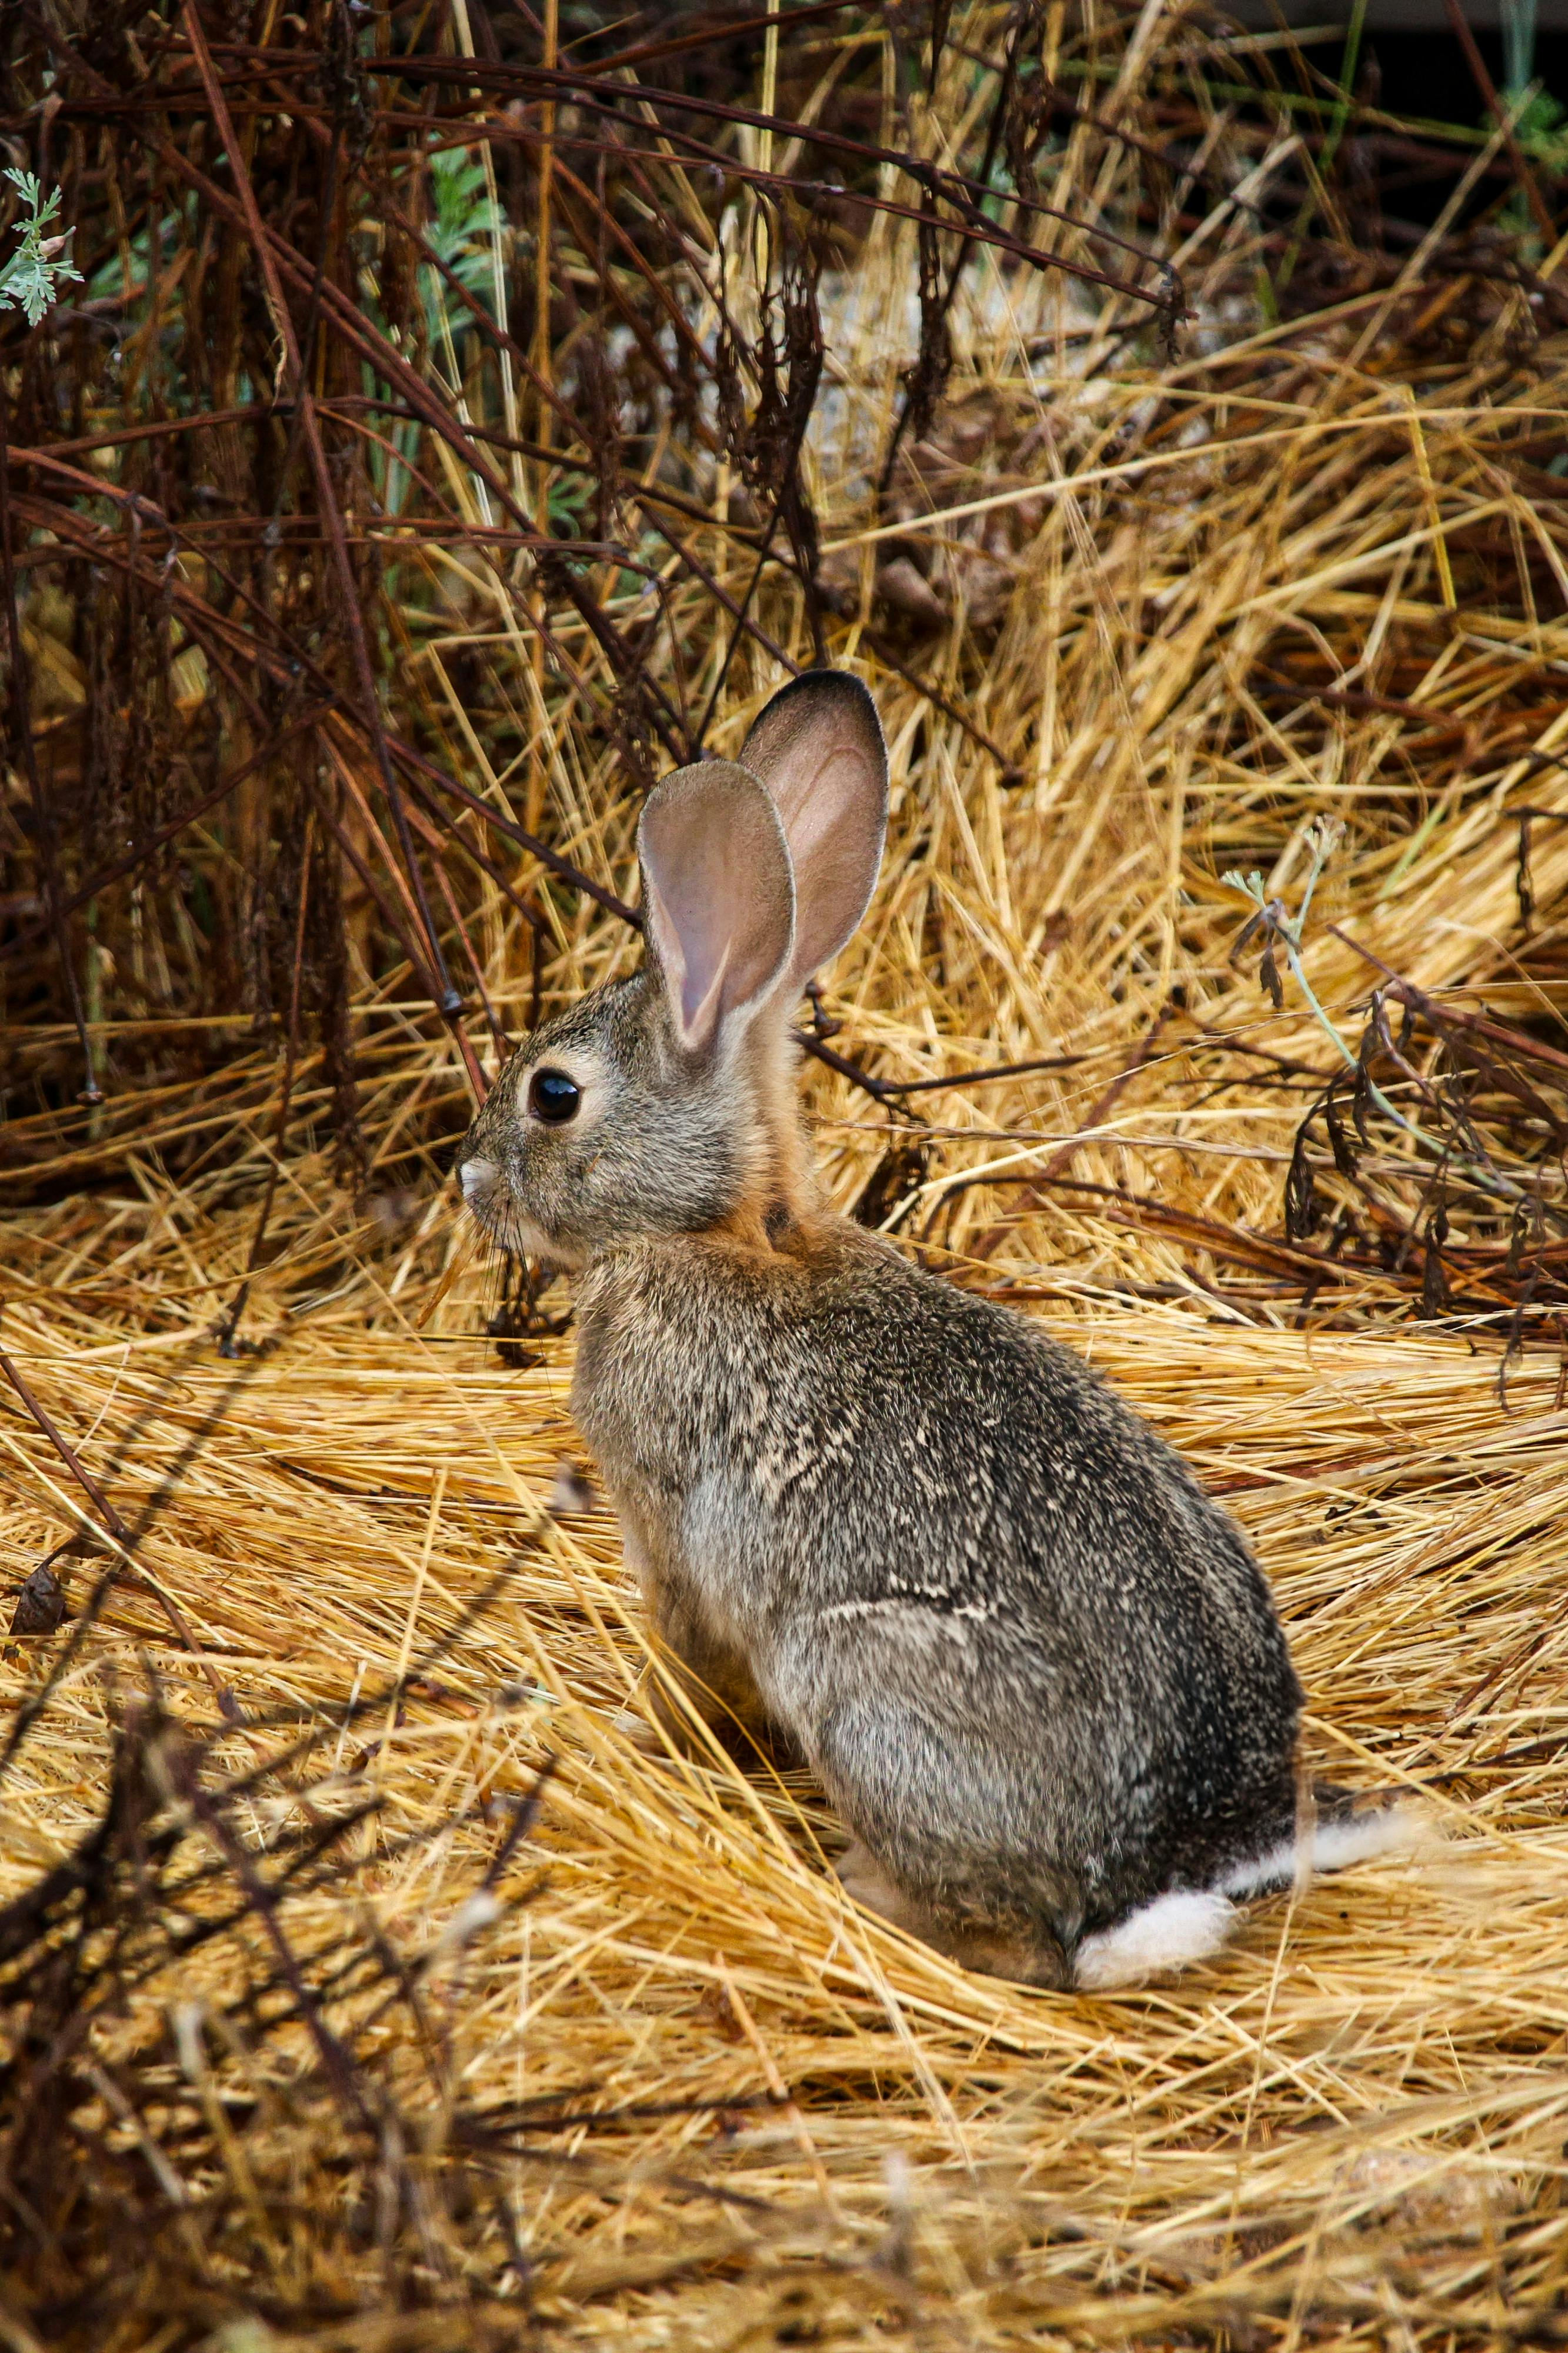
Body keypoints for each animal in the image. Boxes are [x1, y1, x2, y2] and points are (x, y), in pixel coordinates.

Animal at [459, 673, 1412, 1995]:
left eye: (553, 1095)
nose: (468, 1180)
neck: (717, 1229)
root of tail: (1161, 1867)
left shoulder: (672, 1531)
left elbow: (689, 1663)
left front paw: (633, 1734)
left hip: (860, 1682)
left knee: (1017, 1942)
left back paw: (870, 1889)